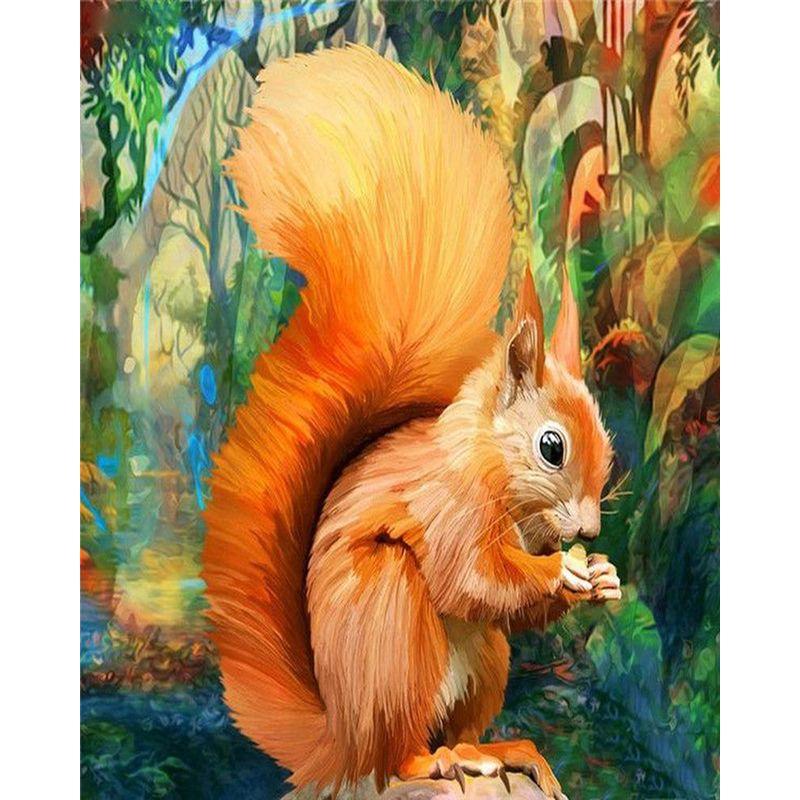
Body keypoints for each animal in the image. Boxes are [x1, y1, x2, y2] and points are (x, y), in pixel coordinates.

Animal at [202, 45, 620, 799]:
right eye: (552, 446)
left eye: (610, 446)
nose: (590, 531)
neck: (488, 463)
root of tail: (340, 743)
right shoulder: (448, 506)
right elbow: (472, 579)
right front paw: (564, 576)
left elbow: (508, 604)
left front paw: (601, 577)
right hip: (390, 620)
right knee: (398, 751)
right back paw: (439, 762)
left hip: (485, 658)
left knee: (461, 710)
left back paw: (500, 749)